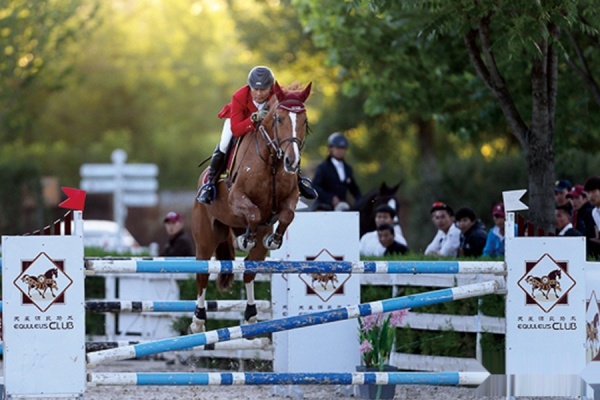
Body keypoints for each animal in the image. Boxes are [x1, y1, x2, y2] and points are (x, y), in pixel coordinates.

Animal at [191, 81, 314, 334]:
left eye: (304, 120)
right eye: (278, 119)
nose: (292, 162)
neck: (273, 161)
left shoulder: (290, 199)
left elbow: (287, 215)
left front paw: (274, 239)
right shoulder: (237, 197)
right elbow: (254, 212)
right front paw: (247, 238)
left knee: (249, 270)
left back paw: (250, 314)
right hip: (206, 237)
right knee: (202, 274)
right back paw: (198, 319)